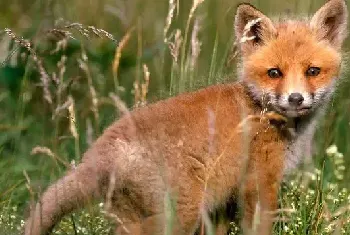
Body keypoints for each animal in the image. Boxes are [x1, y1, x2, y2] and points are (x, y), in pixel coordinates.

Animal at [23, 0, 348, 234]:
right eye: (274, 73)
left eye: (313, 71)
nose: (295, 99)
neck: (259, 109)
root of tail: (97, 154)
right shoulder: (259, 183)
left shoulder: (222, 203)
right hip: (180, 214)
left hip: (136, 215)